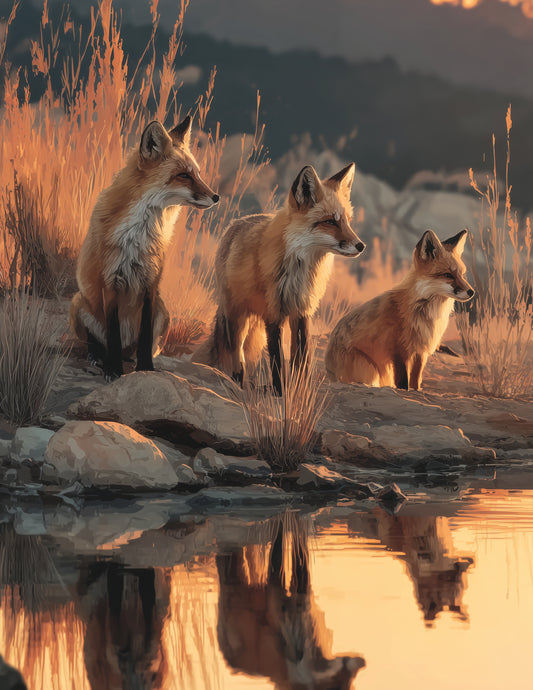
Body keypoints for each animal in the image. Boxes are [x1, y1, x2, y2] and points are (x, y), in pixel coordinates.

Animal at [70, 116, 219, 380]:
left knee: (140, 344)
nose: (216, 197)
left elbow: (146, 334)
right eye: (184, 175)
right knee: (98, 339)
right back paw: (99, 356)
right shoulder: (110, 280)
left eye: (198, 174)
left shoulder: (151, 282)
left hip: (163, 311)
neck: (138, 235)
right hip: (79, 302)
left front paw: (146, 368)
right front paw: (113, 370)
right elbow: (113, 333)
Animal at [193, 163, 365, 394]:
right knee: (237, 351)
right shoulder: (273, 311)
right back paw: (238, 381)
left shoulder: (302, 310)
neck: (299, 272)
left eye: (347, 222)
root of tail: (236, 223)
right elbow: (276, 357)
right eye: (329, 221)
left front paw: (300, 389)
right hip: (237, 315)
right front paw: (279, 391)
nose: (360, 246)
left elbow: (302, 357)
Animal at [325, 228, 475, 390]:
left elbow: (415, 380)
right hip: (370, 369)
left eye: (462, 274)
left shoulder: (420, 351)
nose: (471, 292)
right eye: (448, 275)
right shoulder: (397, 351)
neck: (422, 311)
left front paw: (416, 390)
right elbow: (403, 383)